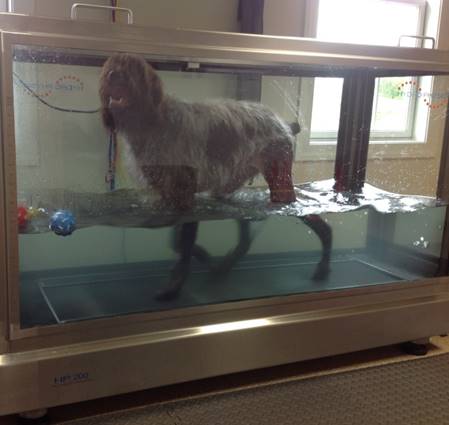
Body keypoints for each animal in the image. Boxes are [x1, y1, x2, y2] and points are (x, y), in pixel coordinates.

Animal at [99, 53, 328, 298]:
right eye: (110, 66)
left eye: (133, 68)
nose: (114, 76)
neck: (153, 122)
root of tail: (283, 123)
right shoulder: (171, 198)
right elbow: (180, 244)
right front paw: (204, 258)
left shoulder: (185, 196)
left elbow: (184, 246)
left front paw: (175, 286)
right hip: (228, 190)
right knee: (244, 236)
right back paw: (226, 264)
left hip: (281, 187)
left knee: (320, 225)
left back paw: (323, 267)